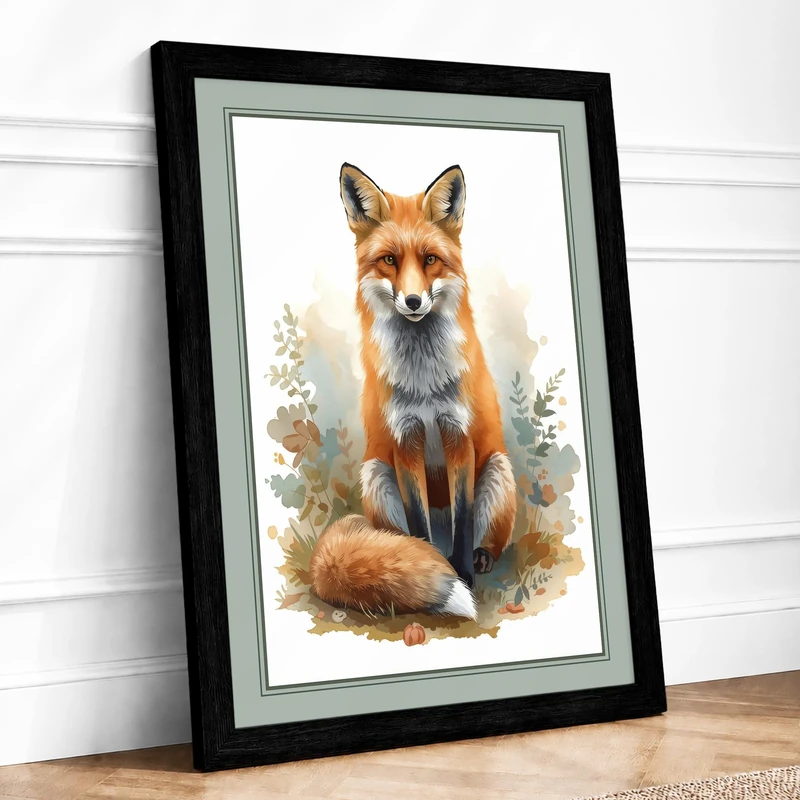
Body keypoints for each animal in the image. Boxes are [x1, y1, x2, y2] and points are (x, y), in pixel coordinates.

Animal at [308, 163, 516, 620]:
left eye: (430, 260)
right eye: (389, 260)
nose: (414, 301)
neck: (425, 384)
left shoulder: (458, 433)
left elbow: (464, 516)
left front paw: (460, 572)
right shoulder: (405, 439)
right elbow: (417, 520)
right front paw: (435, 567)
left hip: (497, 469)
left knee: (482, 534)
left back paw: (479, 557)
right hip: (376, 476)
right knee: (404, 533)